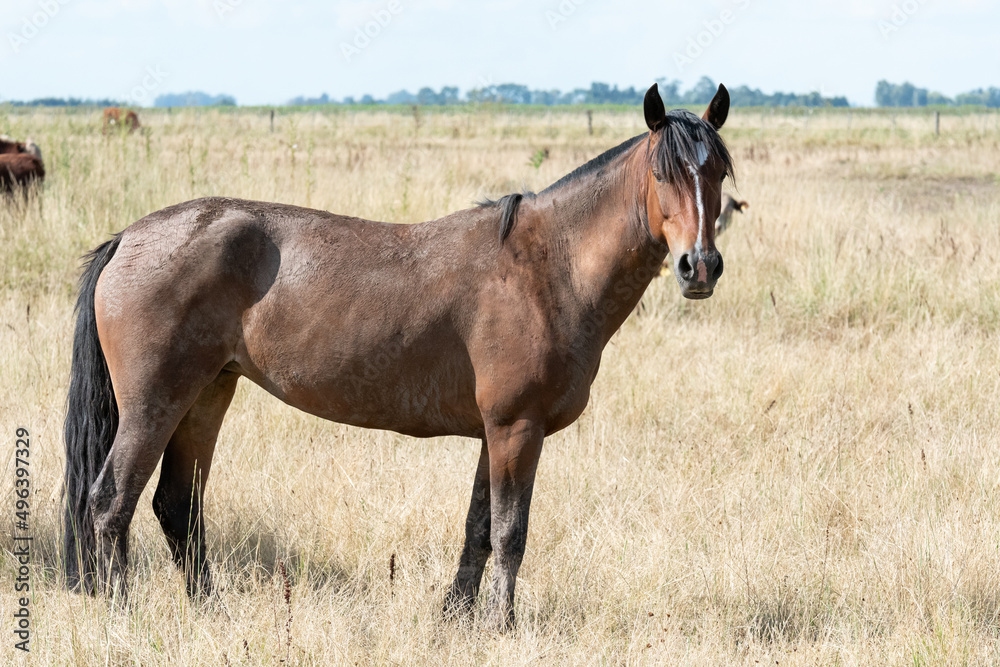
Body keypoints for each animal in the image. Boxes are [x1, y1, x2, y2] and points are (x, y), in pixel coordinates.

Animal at [64, 83, 733, 628]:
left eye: (720, 173)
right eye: (662, 174)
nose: (699, 266)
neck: (547, 268)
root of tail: (130, 237)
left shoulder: (494, 432)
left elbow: (478, 529)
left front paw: (456, 618)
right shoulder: (517, 428)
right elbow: (510, 532)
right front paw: (501, 625)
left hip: (206, 395)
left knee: (176, 506)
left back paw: (214, 613)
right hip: (155, 403)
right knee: (110, 501)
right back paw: (124, 616)